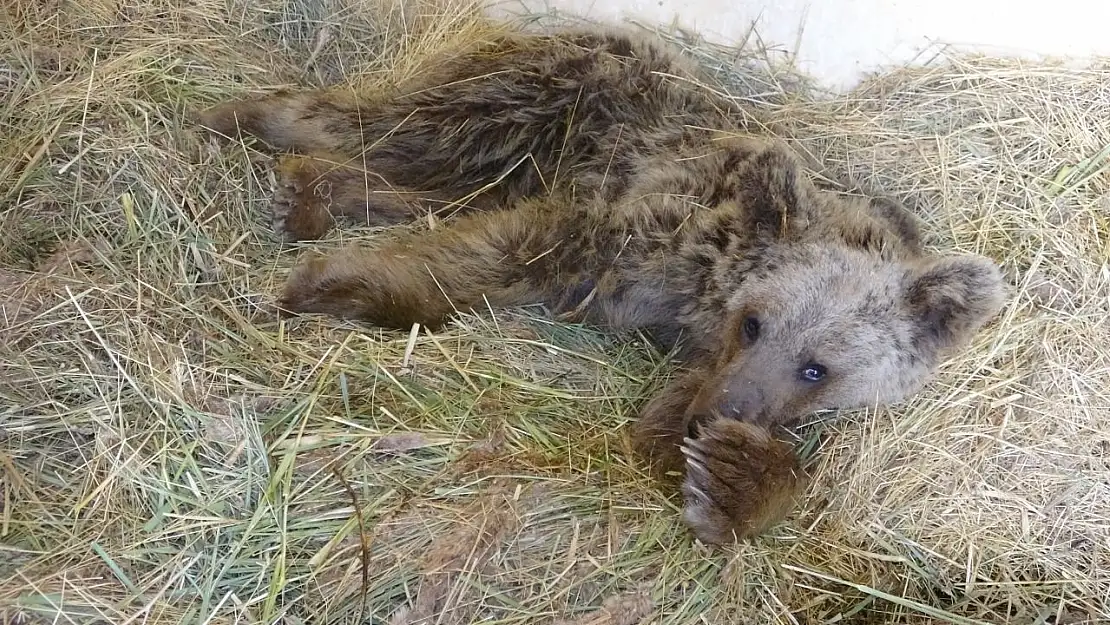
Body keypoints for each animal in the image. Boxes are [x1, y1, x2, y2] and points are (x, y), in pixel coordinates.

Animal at [195, 25, 1012, 543]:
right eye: (755, 323)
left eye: (818, 369)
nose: (718, 414)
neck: (706, 289)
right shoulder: (634, 236)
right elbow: (502, 256)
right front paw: (340, 286)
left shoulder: (698, 345)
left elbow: (676, 430)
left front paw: (730, 477)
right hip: (527, 106)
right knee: (379, 127)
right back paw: (243, 116)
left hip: (502, 161)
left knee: (414, 183)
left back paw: (313, 191)